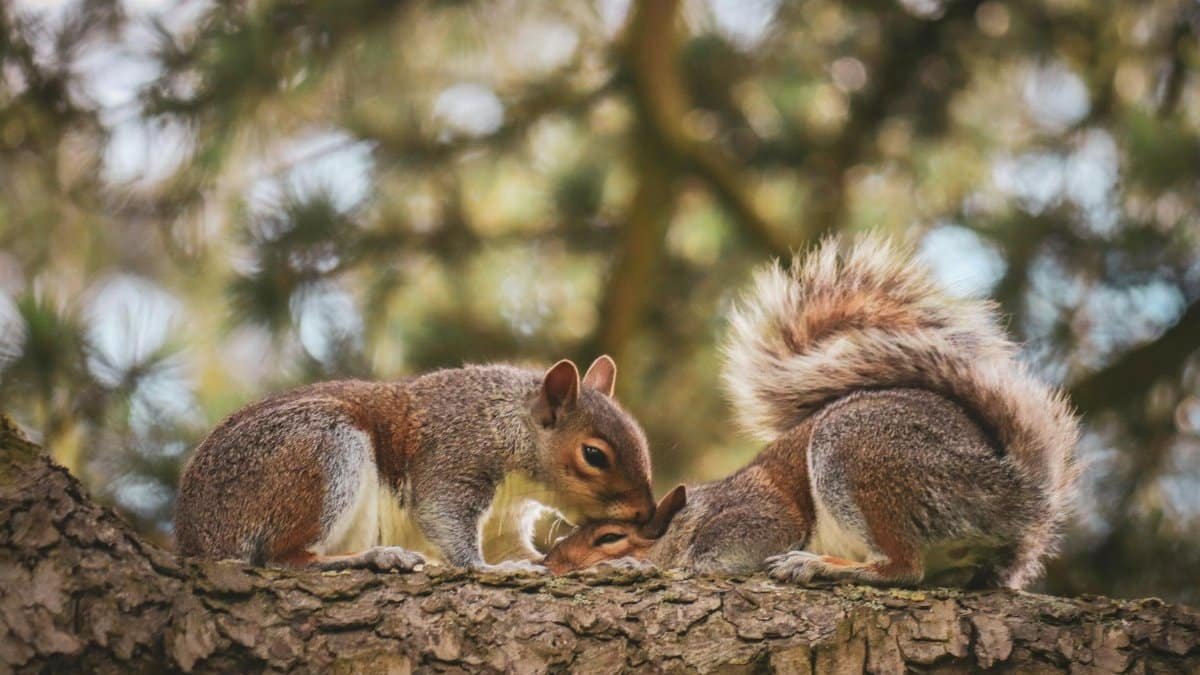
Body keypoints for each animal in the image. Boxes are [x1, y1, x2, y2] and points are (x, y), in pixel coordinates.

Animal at [175, 356, 656, 572]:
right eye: (594, 455)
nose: (647, 515)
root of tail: (195, 536)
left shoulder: (504, 519)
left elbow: (526, 552)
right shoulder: (454, 457)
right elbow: (442, 516)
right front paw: (489, 568)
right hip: (323, 448)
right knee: (284, 558)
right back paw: (375, 556)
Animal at [543, 236, 1079, 589]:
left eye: (609, 537)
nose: (551, 563)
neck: (688, 517)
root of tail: (1015, 493)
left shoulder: (758, 518)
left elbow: (710, 558)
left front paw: (635, 566)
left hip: (860, 458)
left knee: (902, 568)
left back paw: (816, 564)